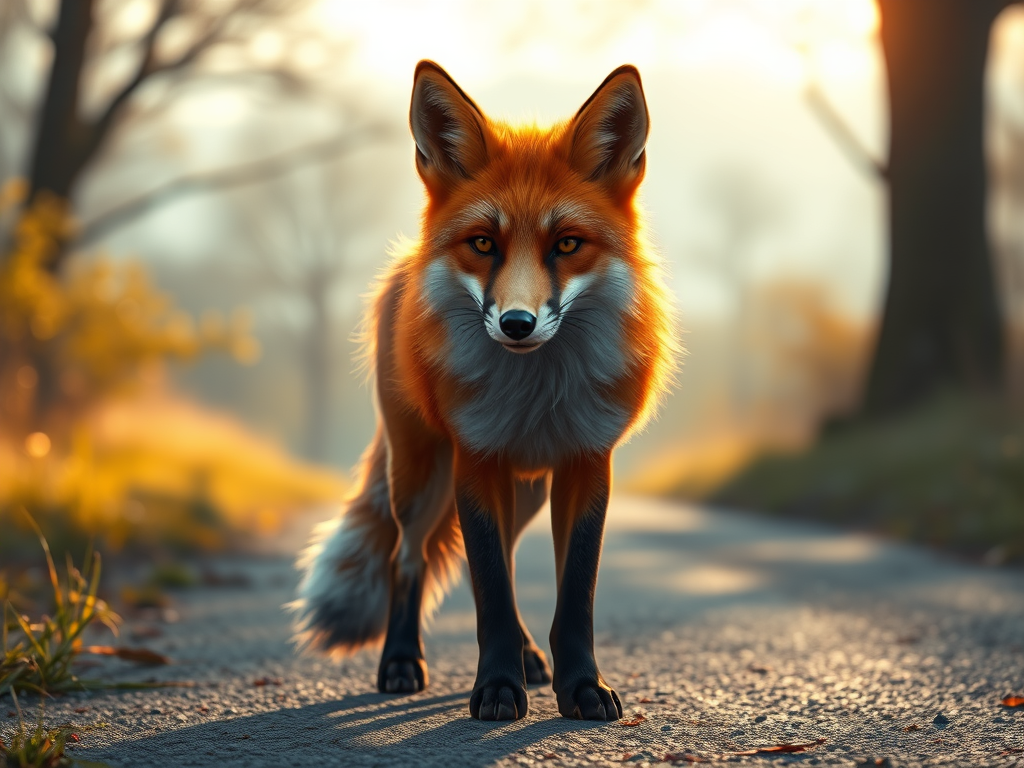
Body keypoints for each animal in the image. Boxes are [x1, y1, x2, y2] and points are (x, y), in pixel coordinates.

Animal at [291, 60, 675, 722]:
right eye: (483, 243)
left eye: (567, 244)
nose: (517, 323)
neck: (537, 397)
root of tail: (406, 260)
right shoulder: (475, 461)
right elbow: (490, 589)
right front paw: (496, 688)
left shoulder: (586, 463)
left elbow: (572, 593)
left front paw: (581, 686)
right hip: (422, 478)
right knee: (408, 558)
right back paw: (401, 662)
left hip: (526, 491)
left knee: (505, 564)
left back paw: (528, 656)